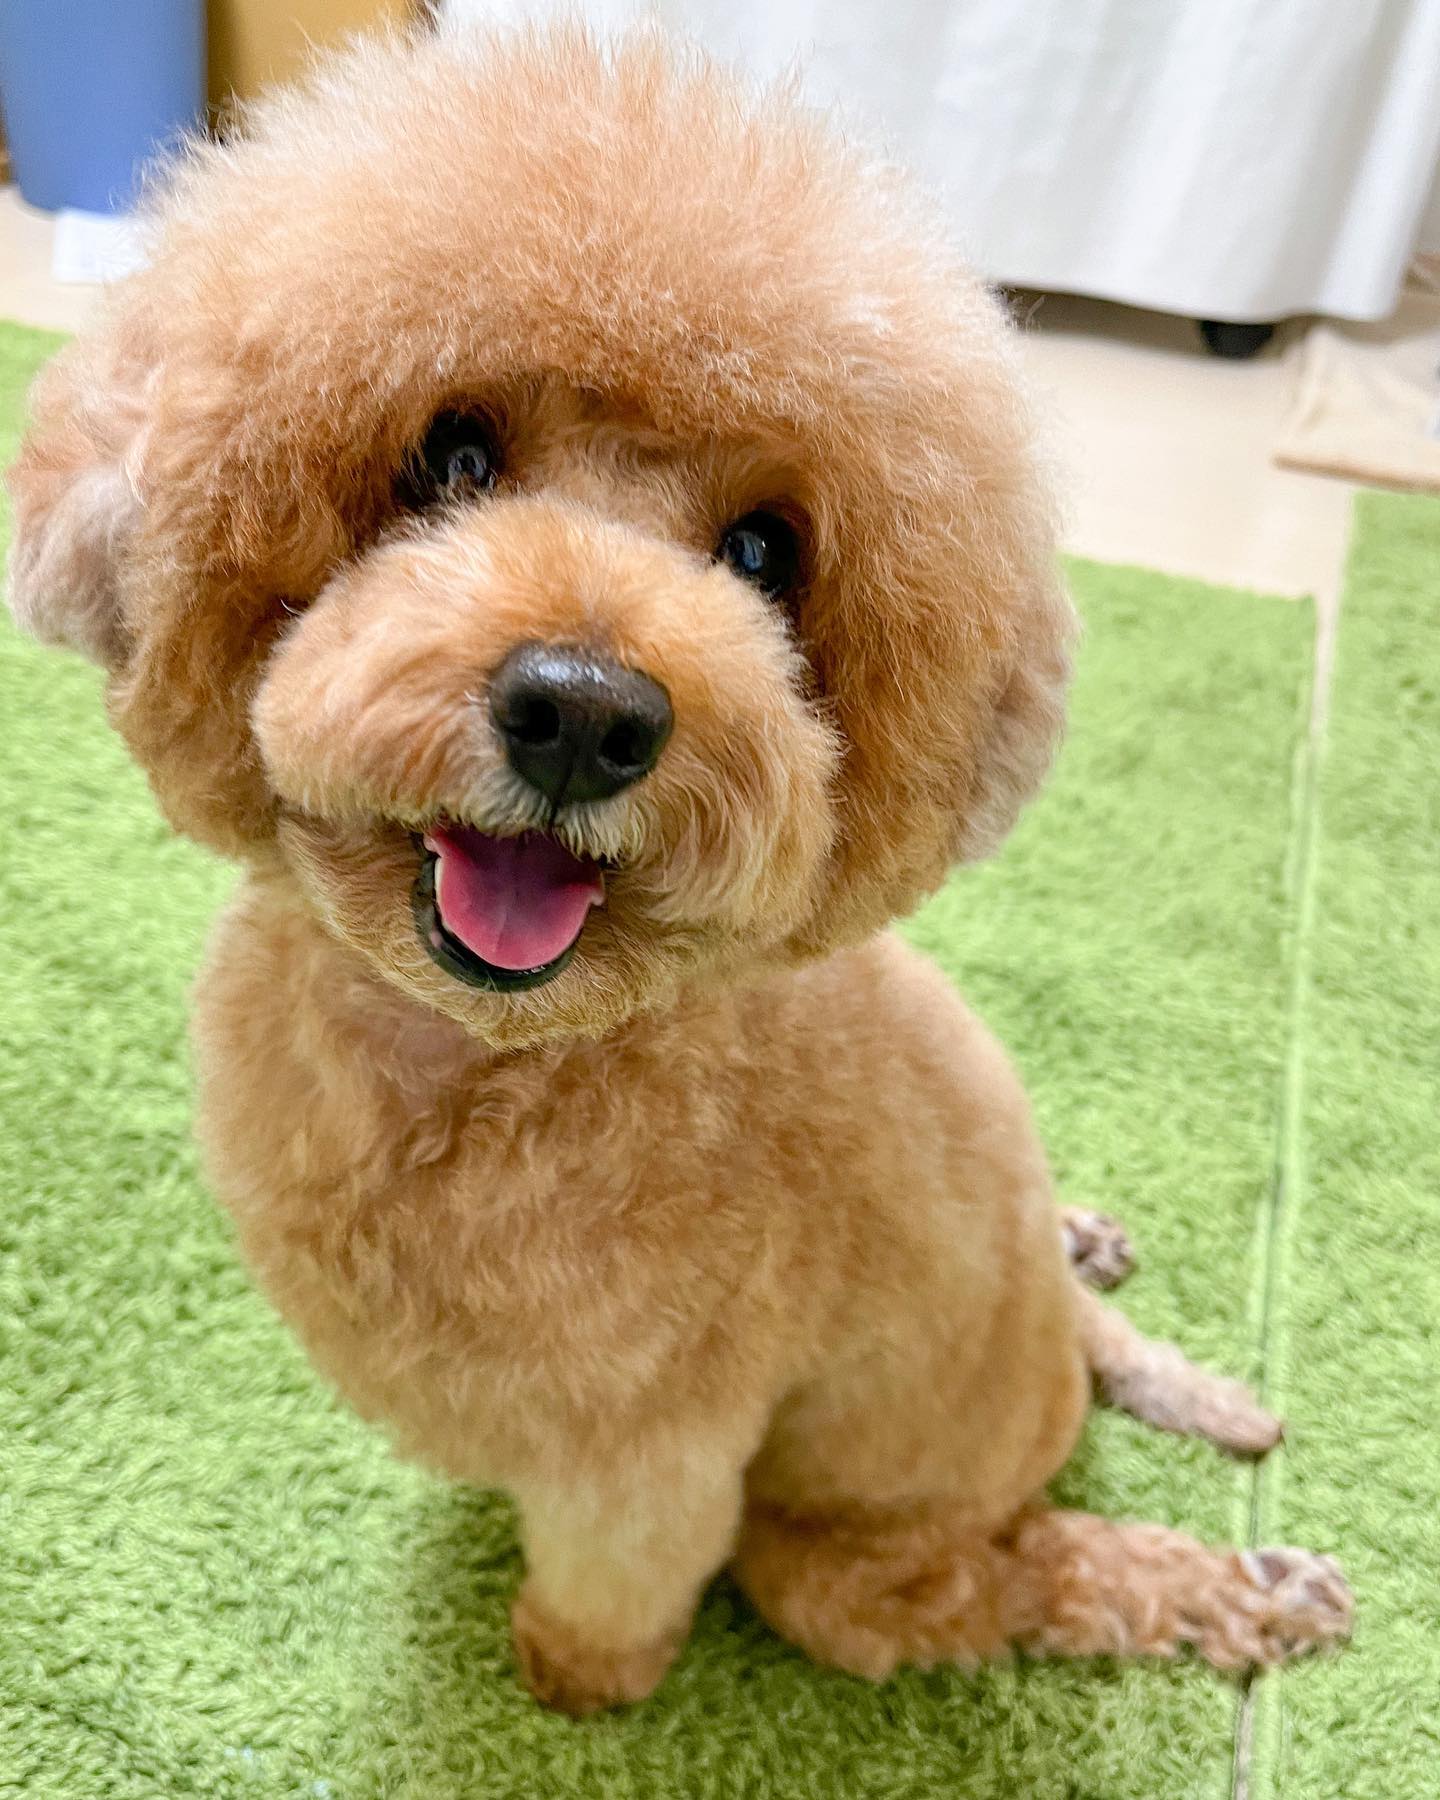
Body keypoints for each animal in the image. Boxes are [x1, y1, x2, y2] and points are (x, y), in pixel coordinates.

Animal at [7, 22, 1350, 1717]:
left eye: (767, 552)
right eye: (451, 452)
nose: (586, 714)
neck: (491, 1070)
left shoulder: (641, 1444)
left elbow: (617, 1574)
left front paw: (569, 1681)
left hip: (837, 1571)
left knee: (1041, 1578)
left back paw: (1255, 1585)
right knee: (1097, 1341)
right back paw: (1114, 1286)